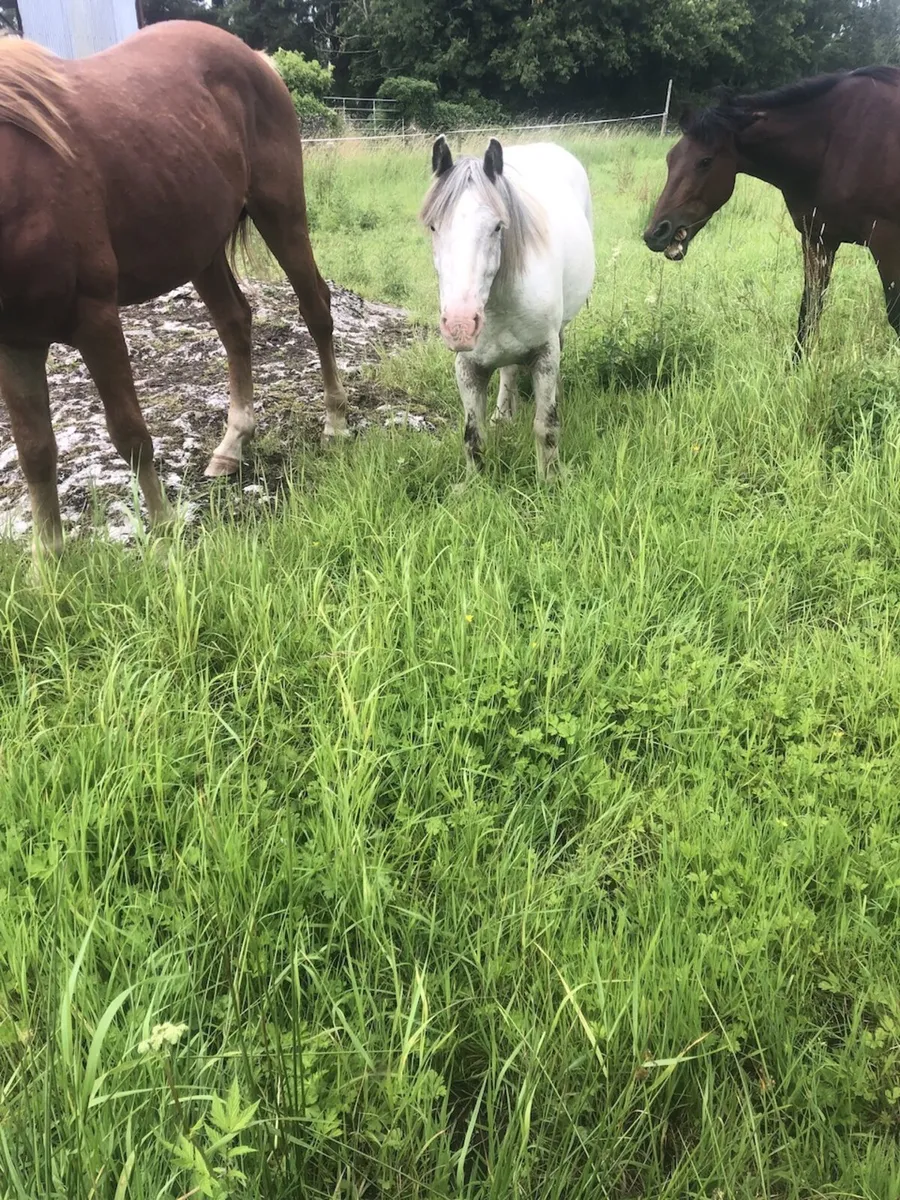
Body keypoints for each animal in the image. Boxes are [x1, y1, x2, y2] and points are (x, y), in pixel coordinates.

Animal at [0, 21, 348, 558]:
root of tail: (257, 59)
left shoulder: (95, 318)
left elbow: (129, 432)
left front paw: (163, 536)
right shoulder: (17, 339)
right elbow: (34, 451)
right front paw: (50, 564)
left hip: (281, 213)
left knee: (316, 309)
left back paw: (335, 421)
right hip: (200, 248)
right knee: (235, 322)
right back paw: (233, 444)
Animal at [421, 137, 594, 478]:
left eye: (498, 227)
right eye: (433, 227)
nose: (460, 325)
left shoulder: (545, 354)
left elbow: (546, 426)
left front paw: (549, 479)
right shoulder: (467, 367)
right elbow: (472, 435)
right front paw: (475, 482)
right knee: (509, 370)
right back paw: (503, 414)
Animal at [643, 66, 900, 360]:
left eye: (705, 161)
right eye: (670, 158)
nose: (656, 232)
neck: (833, 144)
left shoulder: (885, 241)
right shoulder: (818, 238)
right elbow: (809, 310)